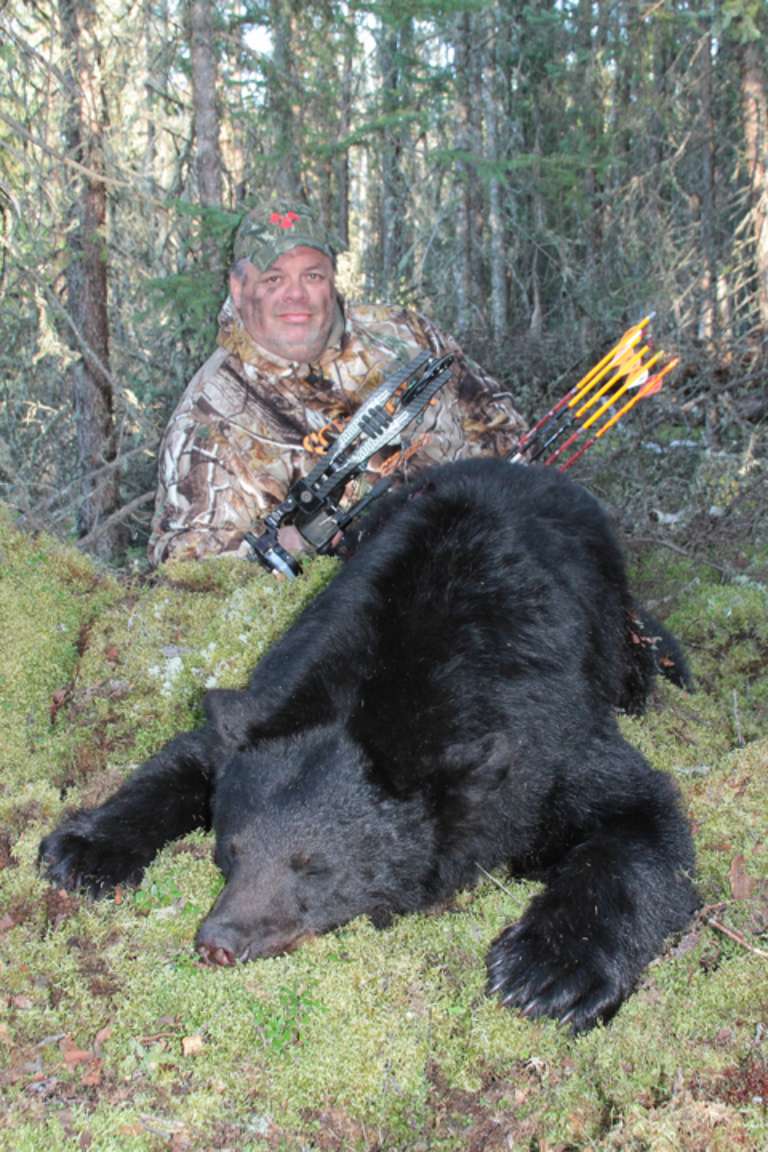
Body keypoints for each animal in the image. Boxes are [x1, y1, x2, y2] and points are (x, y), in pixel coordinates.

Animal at [39, 458, 697, 1033]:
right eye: (231, 851)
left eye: (313, 866)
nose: (220, 941)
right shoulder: (278, 696)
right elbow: (190, 756)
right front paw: (82, 847)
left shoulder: (546, 746)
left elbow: (639, 812)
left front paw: (550, 972)